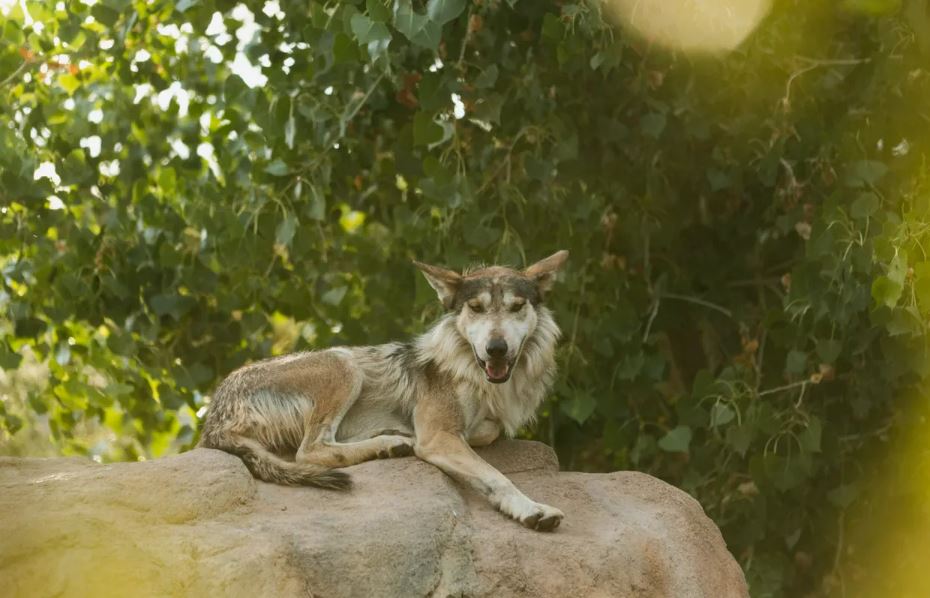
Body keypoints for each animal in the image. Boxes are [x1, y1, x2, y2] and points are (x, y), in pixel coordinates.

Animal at [198, 250, 568, 531]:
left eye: (516, 307)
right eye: (476, 308)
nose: (496, 349)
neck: (474, 373)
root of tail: (213, 416)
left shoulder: (471, 428)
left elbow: (488, 434)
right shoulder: (437, 436)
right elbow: (497, 476)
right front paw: (532, 510)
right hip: (344, 363)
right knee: (311, 450)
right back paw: (389, 443)